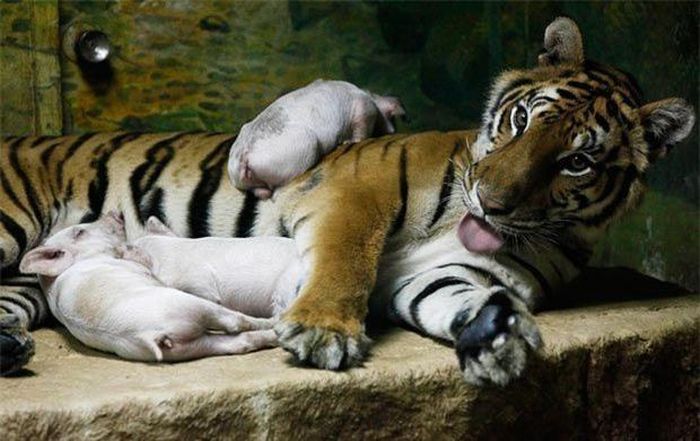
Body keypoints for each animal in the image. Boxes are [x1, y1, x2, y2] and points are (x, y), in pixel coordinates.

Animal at [0, 17, 694, 385]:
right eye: (521, 120)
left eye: (577, 161)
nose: (491, 202)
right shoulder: (355, 191)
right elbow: (346, 256)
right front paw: (322, 331)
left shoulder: (449, 275)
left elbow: (460, 299)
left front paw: (500, 337)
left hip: (32, 279)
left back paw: (14, 348)